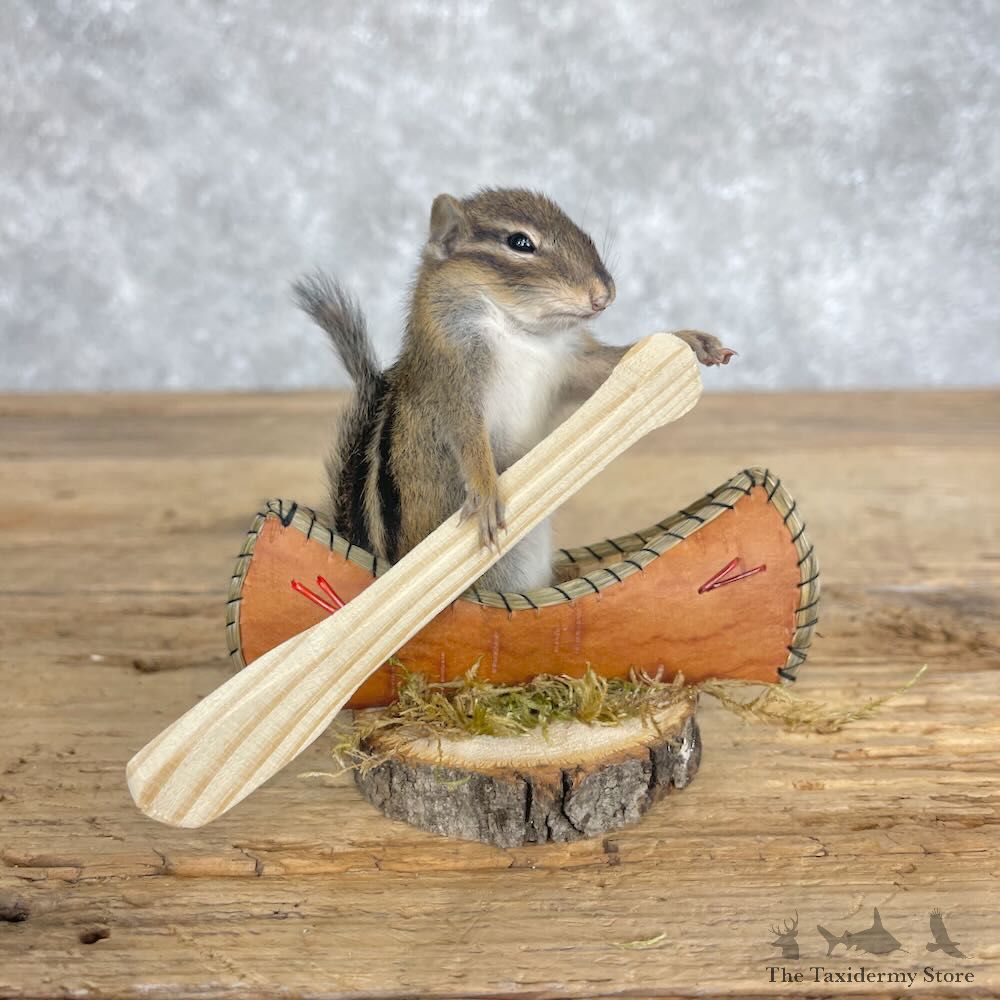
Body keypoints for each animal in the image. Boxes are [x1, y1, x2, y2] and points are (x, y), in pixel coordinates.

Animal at [294, 188, 733, 593]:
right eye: (520, 243)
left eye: (584, 233)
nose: (603, 295)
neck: (519, 331)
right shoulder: (453, 381)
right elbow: (467, 436)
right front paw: (487, 491)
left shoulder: (571, 364)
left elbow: (610, 368)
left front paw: (690, 339)